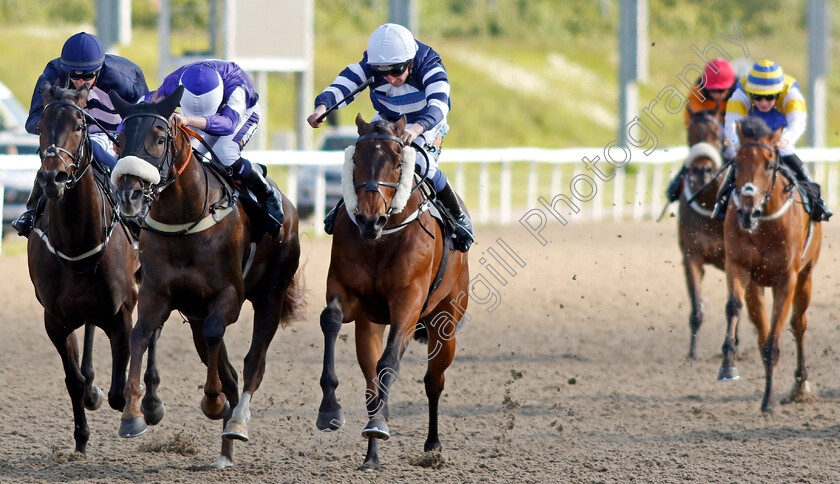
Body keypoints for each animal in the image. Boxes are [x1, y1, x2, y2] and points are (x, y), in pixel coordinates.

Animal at [27, 82, 159, 454]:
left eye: (79, 126)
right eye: (40, 126)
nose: (52, 177)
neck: (77, 243)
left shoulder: (120, 314)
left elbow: (119, 390)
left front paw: (135, 413)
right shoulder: (55, 320)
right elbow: (74, 381)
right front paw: (81, 435)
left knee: (153, 330)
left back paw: (152, 401)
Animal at [105, 85, 302, 466]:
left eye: (160, 137)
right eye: (119, 139)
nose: (129, 195)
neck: (186, 220)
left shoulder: (229, 295)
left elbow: (218, 341)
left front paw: (212, 402)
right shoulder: (157, 293)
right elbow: (139, 335)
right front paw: (134, 414)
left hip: (270, 295)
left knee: (253, 364)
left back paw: (236, 422)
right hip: (195, 312)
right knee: (229, 369)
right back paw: (225, 452)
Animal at [316, 113, 470, 468]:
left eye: (399, 161)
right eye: (356, 159)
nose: (369, 220)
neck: (382, 240)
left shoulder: (408, 302)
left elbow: (389, 360)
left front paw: (380, 422)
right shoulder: (346, 292)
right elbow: (330, 319)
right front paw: (329, 410)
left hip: (447, 323)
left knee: (433, 382)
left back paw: (432, 444)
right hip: (369, 325)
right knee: (372, 385)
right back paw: (372, 454)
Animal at [716, 117, 820, 412]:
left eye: (770, 164)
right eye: (737, 163)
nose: (747, 212)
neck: (763, 224)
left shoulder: (788, 278)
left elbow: (775, 337)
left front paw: (769, 401)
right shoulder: (738, 266)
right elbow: (734, 308)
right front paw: (728, 365)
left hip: (806, 277)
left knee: (798, 324)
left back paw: (800, 384)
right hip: (757, 286)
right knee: (761, 328)